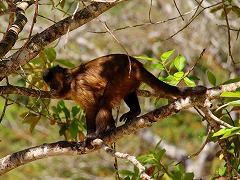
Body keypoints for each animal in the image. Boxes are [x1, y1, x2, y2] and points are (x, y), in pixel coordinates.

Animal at [42, 53, 206, 143]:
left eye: (54, 84)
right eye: (49, 85)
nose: (51, 90)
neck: (70, 81)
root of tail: (135, 63)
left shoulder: (78, 87)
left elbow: (93, 107)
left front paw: (92, 135)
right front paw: (110, 127)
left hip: (123, 74)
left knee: (105, 102)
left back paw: (99, 133)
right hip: (129, 78)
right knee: (125, 93)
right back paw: (134, 112)